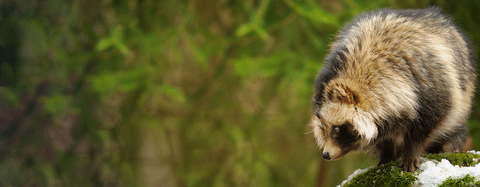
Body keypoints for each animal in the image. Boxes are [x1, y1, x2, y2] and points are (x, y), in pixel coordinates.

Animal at [312, 6, 476, 171]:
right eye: (323, 129)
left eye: (336, 129)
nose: (325, 155)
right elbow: (382, 136)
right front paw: (387, 154)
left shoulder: (431, 82)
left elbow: (427, 124)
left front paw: (411, 151)